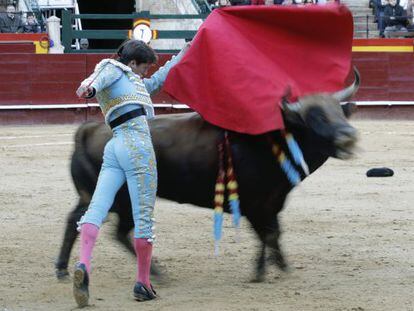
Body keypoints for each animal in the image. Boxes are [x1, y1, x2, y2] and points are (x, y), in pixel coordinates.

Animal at [55, 70, 360, 282]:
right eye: (316, 117)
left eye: (339, 112)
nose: (349, 137)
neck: (273, 140)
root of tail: (89, 130)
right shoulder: (255, 205)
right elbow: (268, 234)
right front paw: (260, 271)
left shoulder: (272, 203)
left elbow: (275, 234)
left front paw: (281, 266)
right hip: (124, 198)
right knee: (115, 231)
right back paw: (157, 273)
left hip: (94, 196)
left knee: (77, 221)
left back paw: (62, 269)